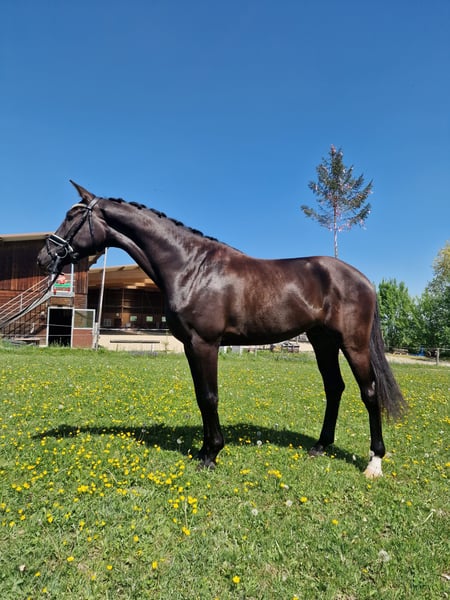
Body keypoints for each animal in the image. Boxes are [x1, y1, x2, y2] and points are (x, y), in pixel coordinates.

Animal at [37, 181, 406, 478]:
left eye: (72, 217)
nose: (45, 257)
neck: (190, 267)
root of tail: (363, 279)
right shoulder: (190, 345)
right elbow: (201, 396)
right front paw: (204, 450)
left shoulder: (206, 343)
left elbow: (210, 397)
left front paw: (211, 454)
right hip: (322, 342)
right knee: (334, 388)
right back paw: (320, 446)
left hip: (353, 344)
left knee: (369, 392)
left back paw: (374, 462)